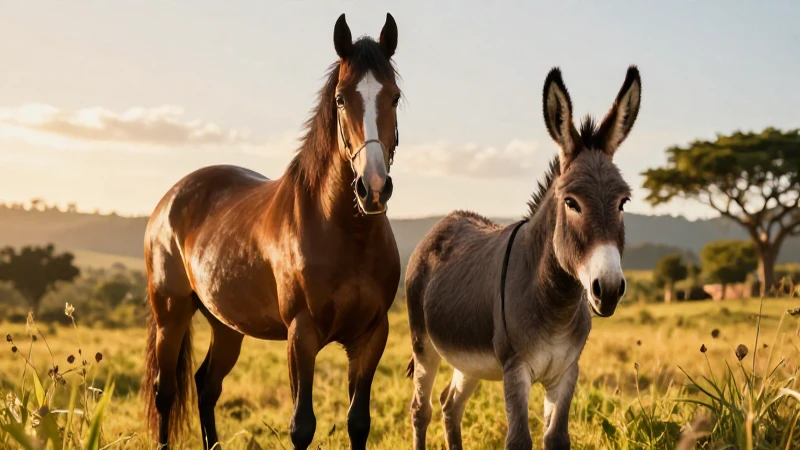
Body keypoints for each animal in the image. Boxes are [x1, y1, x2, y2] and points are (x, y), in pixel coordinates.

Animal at [141, 13, 402, 450]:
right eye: (341, 98)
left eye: (395, 96)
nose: (374, 187)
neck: (343, 232)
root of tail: (168, 202)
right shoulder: (301, 335)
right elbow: (302, 425)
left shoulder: (371, 336)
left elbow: (358, 422)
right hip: (170, 315)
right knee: (167, 392)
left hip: (226, 327)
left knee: (206, 386)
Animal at [405, 66, 641, 450]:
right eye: (571, 203)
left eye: (624, 202)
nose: (607, 289)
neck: (555, 302)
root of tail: (446, 220)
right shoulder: (515, 370)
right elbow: (518, 440)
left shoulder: (566, 372)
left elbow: (556, 438)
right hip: (423, 344)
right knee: (420, 409)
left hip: (468, 360)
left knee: (449, 405)